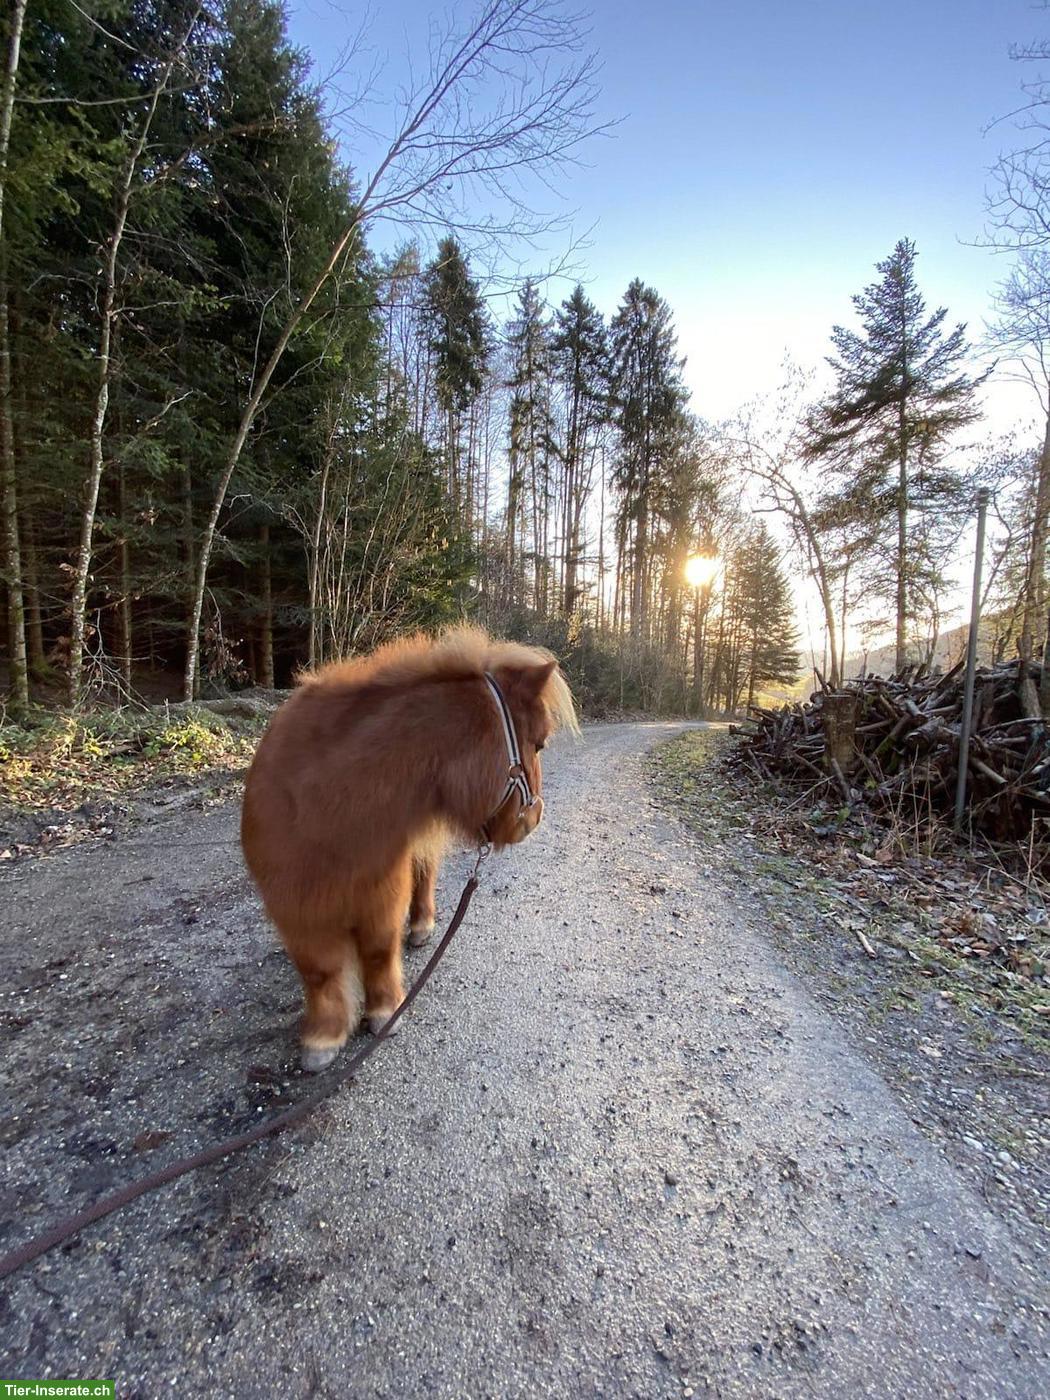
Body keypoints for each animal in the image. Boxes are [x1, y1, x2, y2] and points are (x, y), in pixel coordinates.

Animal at [240, 625, 577, 1070]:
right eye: (538, 744)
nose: (533, 819)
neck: (328, 807)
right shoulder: (295, 905)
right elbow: (320, 970)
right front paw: (323, 1038)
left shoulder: (381, 892)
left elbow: (378, 950)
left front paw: (384, 1013)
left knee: (424, 876)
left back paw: (420, 927)